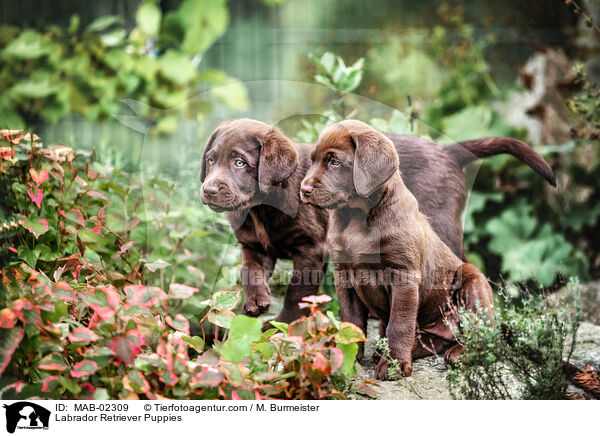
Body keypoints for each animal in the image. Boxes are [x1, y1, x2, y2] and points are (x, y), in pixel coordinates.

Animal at [302, 121, 494, 380]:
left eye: (334, 162)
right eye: (312, 160)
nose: (303, 189)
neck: (357, 217)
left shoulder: (403, 276)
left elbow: (399, 323)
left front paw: (395, 363)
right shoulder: (345, 276)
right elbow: (351, 321)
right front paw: (346, 359)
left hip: (471, 279)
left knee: (482, 335)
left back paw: (459, 353)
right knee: (432, 340)